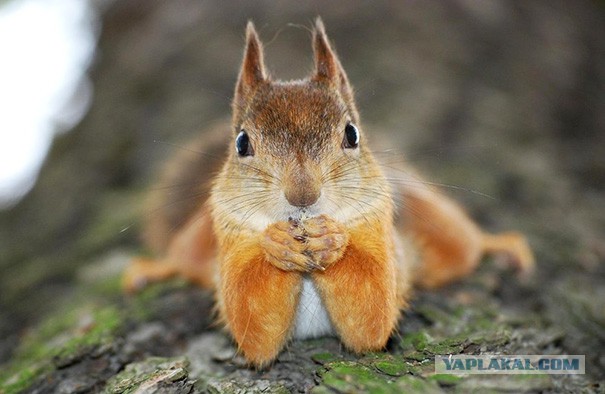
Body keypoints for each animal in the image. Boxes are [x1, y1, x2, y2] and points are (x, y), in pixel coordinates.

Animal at [124, 18, 532, 368]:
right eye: (241, 143)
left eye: (352, 134)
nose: (303, 194)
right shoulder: (230, 234)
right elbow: (252, 324)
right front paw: (277, 244)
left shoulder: (380, 233)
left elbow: (373, 312)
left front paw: (331, 240)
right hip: (198, 238)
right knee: (183, 258)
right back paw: (152, 269)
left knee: (464, 245)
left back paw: (501, 244)